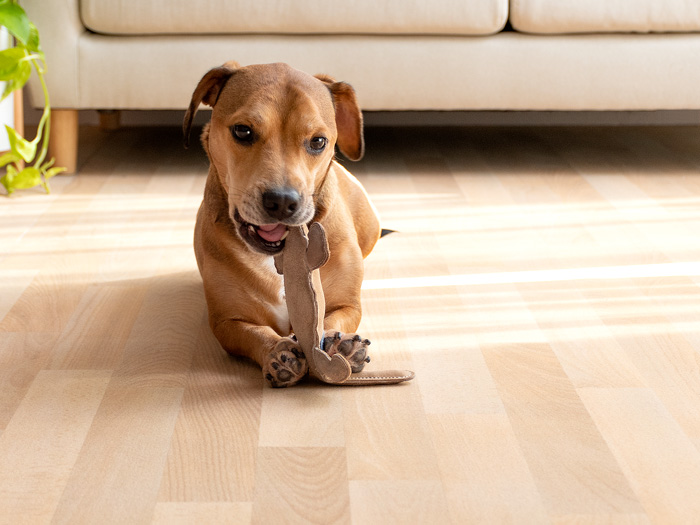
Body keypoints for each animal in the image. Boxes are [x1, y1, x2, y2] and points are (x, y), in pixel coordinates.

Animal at [186, 62, 380, 388]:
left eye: (318, 141)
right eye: (242, 131)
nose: (282, 201)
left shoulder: (348, 304)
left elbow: (332, 318)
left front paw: (339, 344)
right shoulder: (227, 321)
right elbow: (254, 333)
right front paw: (278, 352)